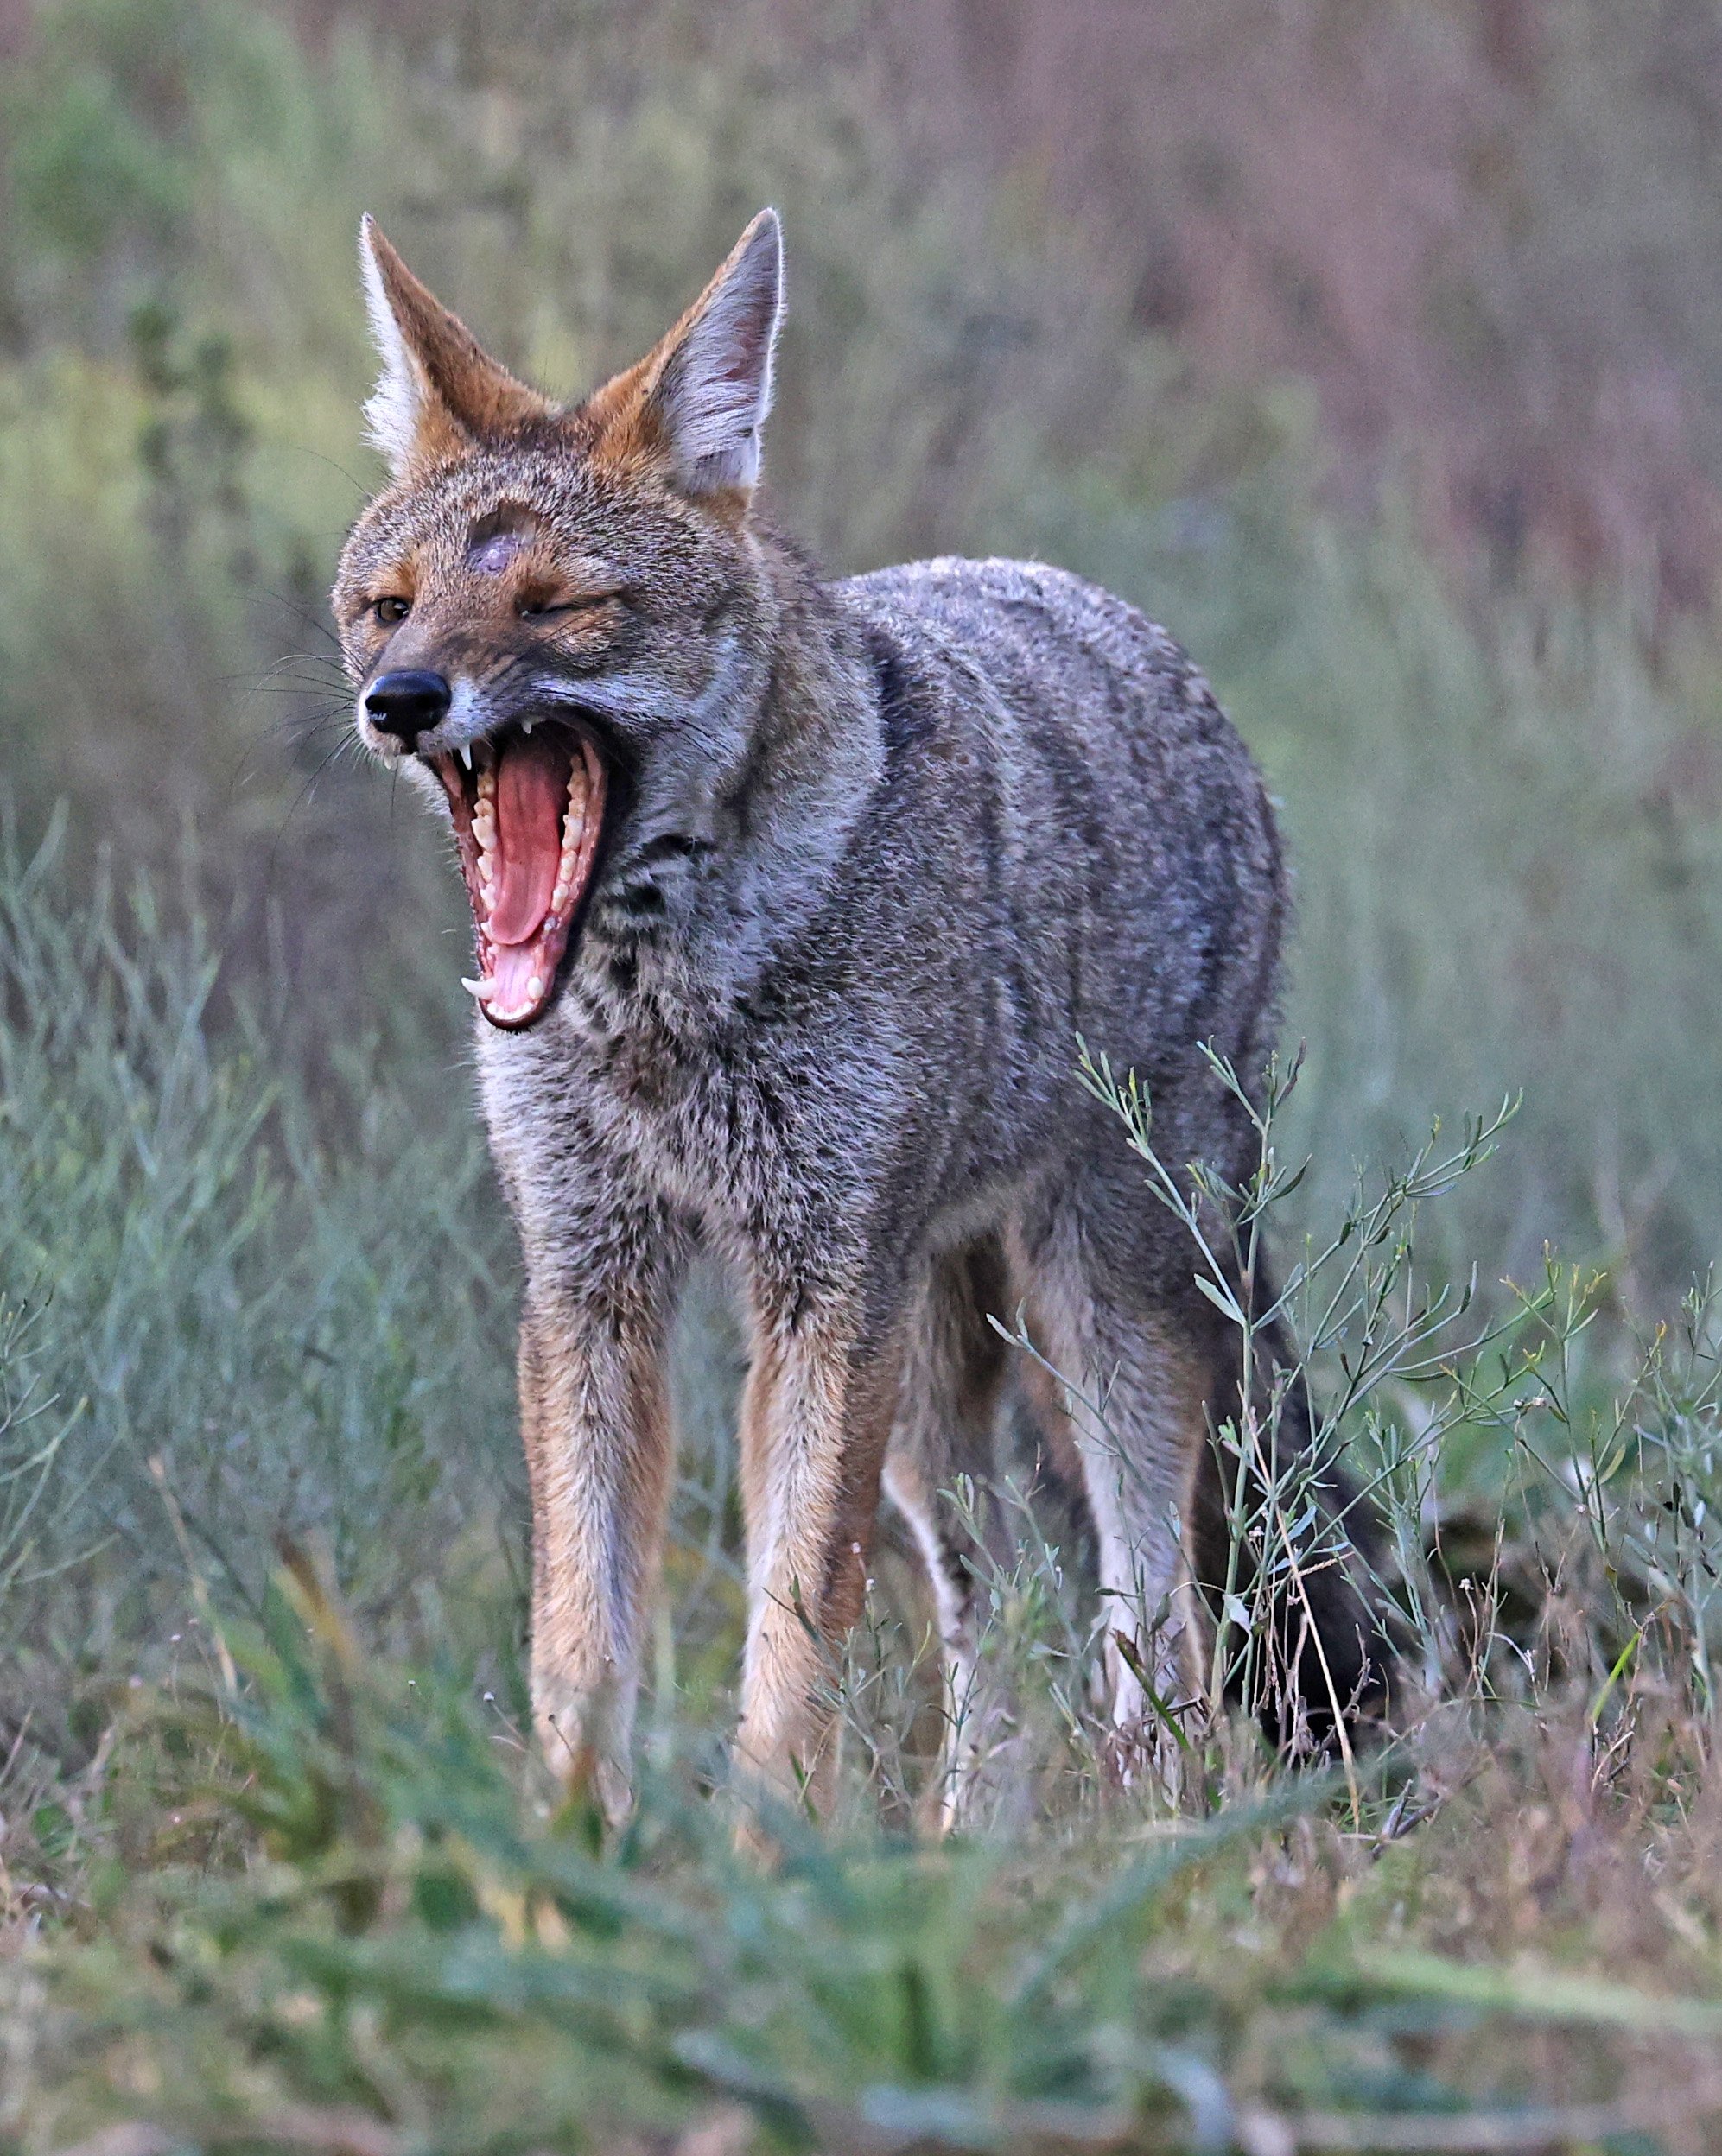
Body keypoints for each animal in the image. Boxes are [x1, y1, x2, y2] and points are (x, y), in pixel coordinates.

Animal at [331, 207, 1387, 1824]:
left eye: (554, 607)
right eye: (389, 606)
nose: (399, 699)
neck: (657, 1010)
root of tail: (1126, 625)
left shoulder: (822, 1289)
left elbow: (795, 1625)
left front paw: (769, 1852)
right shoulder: (588, 1282)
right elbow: (581, 1637)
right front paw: (564, 1861)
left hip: (1100, 1304)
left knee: (1151, 1612)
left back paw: (1148, 1823)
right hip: (935, 1391)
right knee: (991, 1609)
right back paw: (973, 1841)